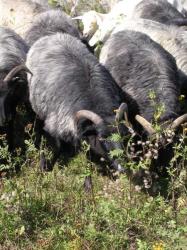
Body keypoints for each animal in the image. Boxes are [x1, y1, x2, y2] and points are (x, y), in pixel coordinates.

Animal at [25, 33, 129, 173]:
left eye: (123, 135)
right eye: (102, 137)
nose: (122, 168)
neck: (96, 103)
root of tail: (53, 35)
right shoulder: (54, 128)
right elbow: (56, 148)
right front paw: (45, 166)